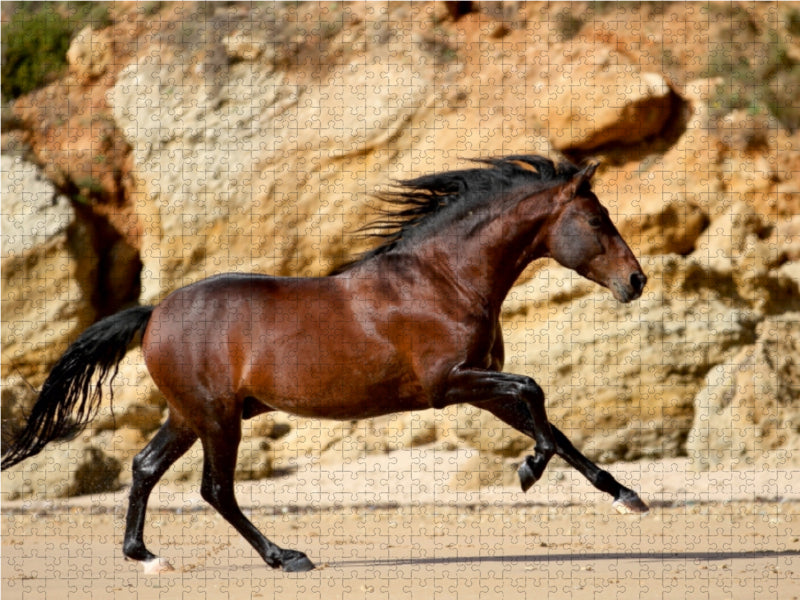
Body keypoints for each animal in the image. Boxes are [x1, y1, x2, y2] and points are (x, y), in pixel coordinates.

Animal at [2, 155, 648, 573]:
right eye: (597, 221)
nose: (636, 281)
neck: (443, 279)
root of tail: (155, 310)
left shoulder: (481, 389)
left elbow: (556, 430)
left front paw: (626, 496)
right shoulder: (450, 383)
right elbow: (535, 393)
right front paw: (528, 471)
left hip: (190, 416)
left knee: (144, 467)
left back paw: (145, 555)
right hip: (217, 419)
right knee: (216, 489)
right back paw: (285, 556)